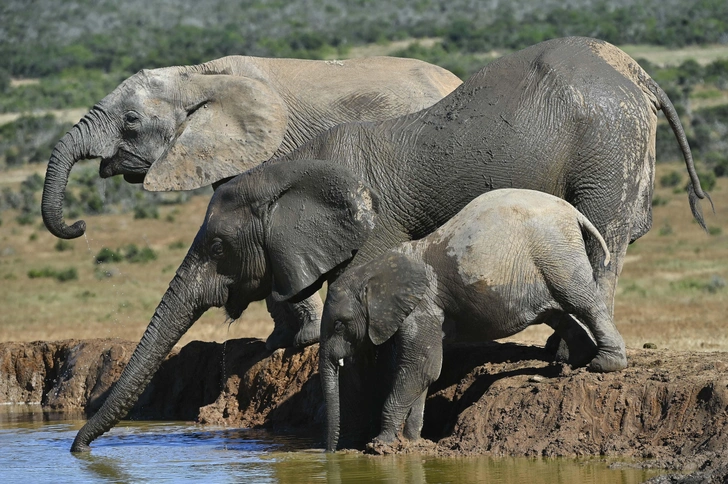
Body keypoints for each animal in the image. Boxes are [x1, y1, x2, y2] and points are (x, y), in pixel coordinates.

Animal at [39, 54, 460, 350]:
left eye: (130, 120)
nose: (80, 226)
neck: (198, 75)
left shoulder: (274, 152)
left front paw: (304, 340)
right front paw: (278, 342)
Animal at [322, 188, 628, 450]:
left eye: (339, 324)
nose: (330, 453)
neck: (375, 269)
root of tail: (574, 213)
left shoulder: (422, 307)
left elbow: (419, 368)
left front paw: (379, 445)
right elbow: (424, 371)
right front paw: (411, 442)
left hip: (556, 253)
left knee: (582, 301)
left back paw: (605, 364)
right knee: (558, 313)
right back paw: (576, 362)